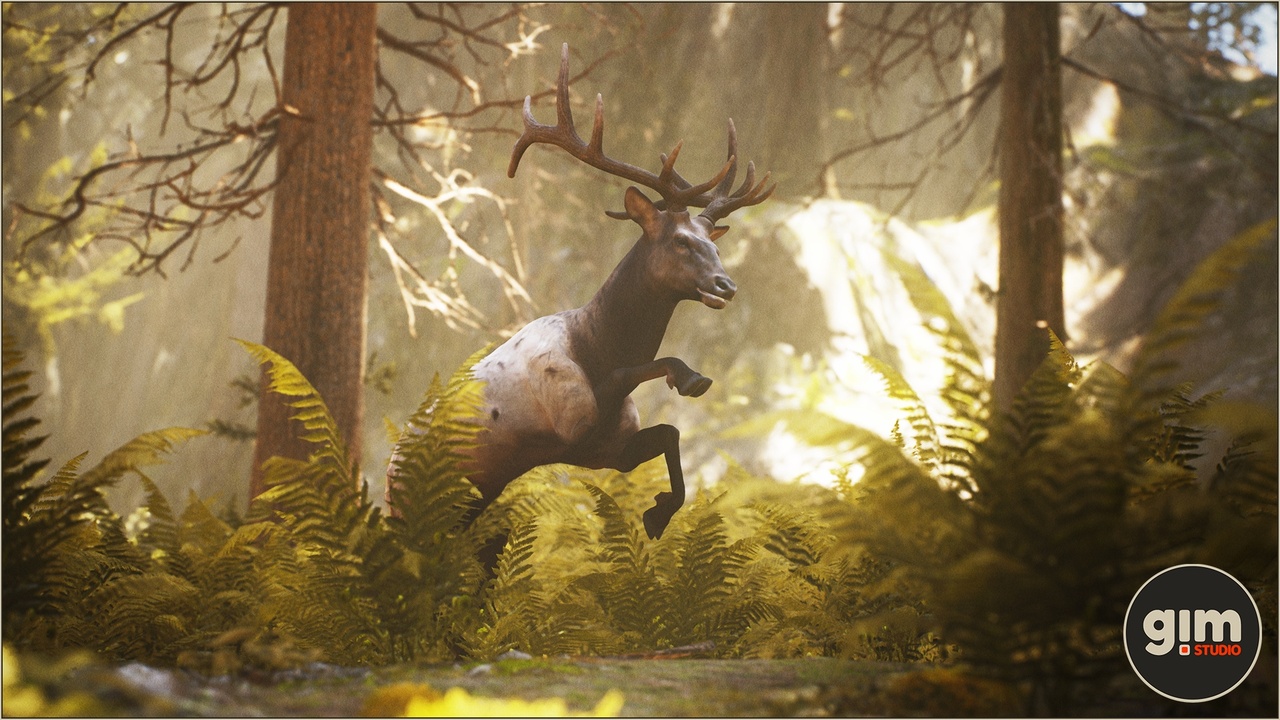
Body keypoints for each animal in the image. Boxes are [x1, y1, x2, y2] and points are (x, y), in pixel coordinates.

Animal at [392, 44, 773, 543]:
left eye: (715, 245)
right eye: (680, 241)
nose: (725, 285)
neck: (594, 343)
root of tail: (389, 464)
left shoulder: (607, 450)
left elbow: (670, 432)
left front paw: (658, 512)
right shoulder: (571, 420)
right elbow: (632, 376)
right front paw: (690, 378)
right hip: (411, 504)